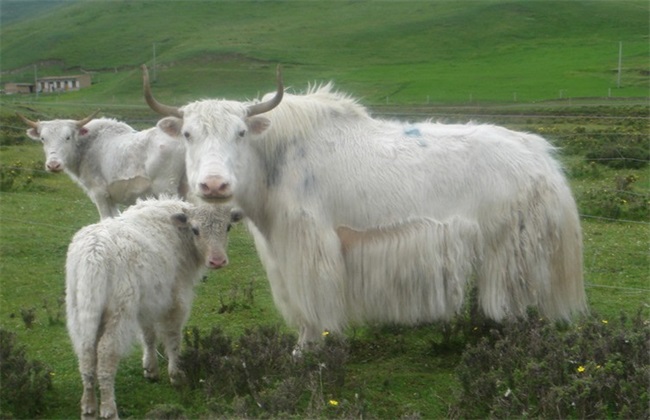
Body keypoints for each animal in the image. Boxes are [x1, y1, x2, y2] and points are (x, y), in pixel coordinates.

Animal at [17, 112, 188, 219]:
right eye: (43, 138)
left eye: (67, 137)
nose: (53, 165)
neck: (86, 146)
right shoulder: (111, 198)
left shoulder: (99, 193)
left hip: (166, 188)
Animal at [65, 196, 243, 419]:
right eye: (195, 230)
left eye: (228, 227)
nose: (217, 261)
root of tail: (94, 253)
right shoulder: (175, 300)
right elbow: (173, 338)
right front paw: (176, 375)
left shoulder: (148, 303)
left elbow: (148, 335)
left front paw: (150, 370)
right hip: (119, 313)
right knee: (106, 354)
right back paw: (109, 410)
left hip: (80, 313)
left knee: (86, 356)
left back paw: (88, 408)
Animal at [142, 64, 587, 349]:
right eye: (187, 134)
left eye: (239, 132)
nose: (214, 185)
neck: (274, 159)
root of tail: (542, 156)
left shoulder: (309, 244)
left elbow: (313, 302)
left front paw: (309, 349)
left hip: (509, 246)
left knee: (513, 299)